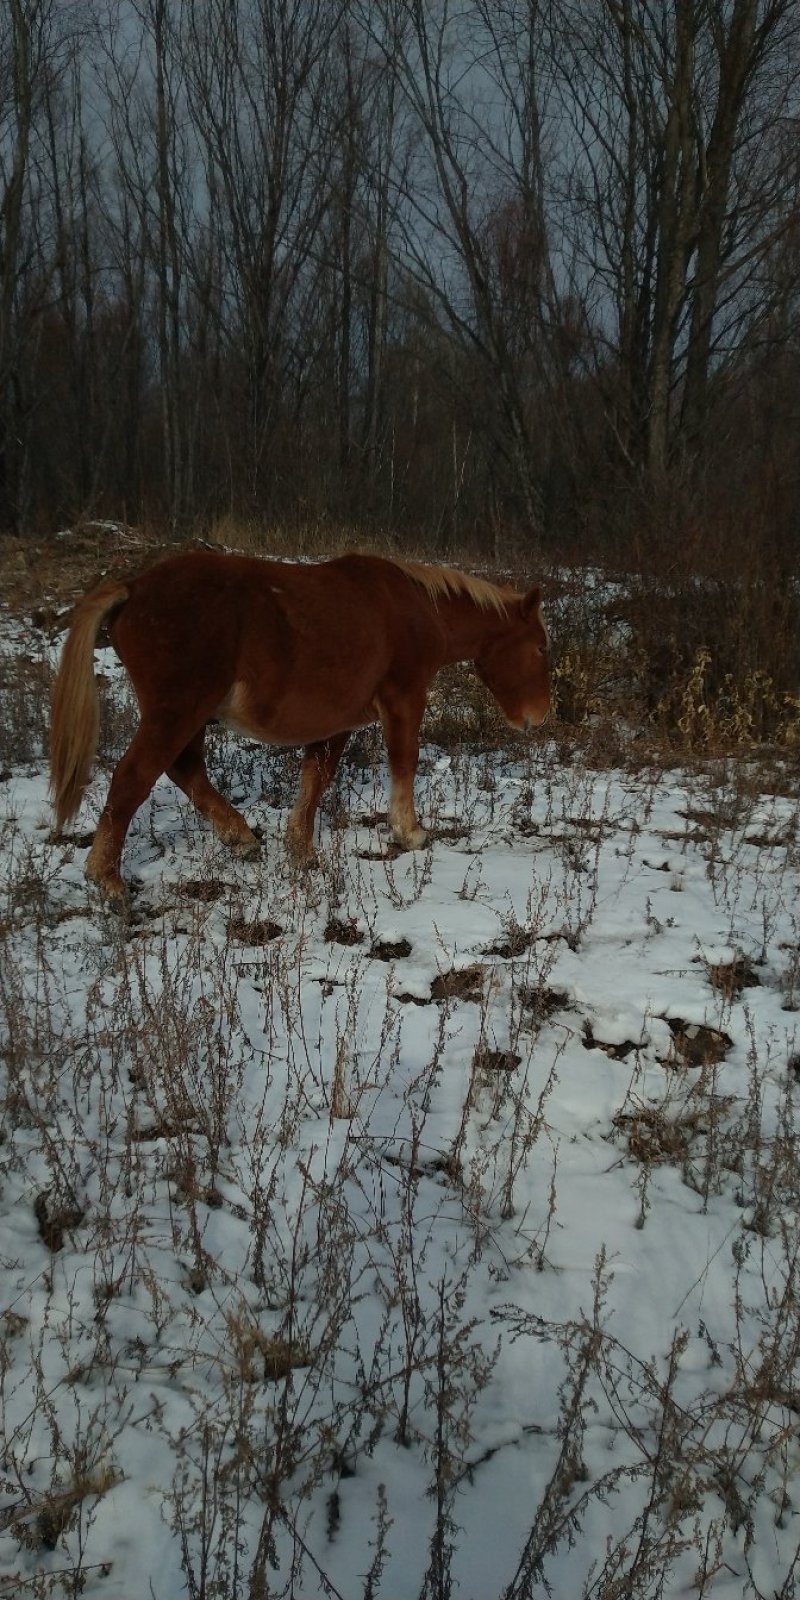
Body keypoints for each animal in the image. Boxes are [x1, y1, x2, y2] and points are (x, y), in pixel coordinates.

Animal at [50, 549, 550, 901]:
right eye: (541, 647)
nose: (539, 717)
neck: (416, 609)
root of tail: (133, 587)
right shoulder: (405, 697)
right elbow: (403, 760)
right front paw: (409, 832)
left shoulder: (338, 722)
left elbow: (316, 778)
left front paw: (301, 849)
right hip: (177, 711)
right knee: (133, 778)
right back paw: (107, 879)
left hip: (189, 717)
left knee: (185, 769)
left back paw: (240, 838)